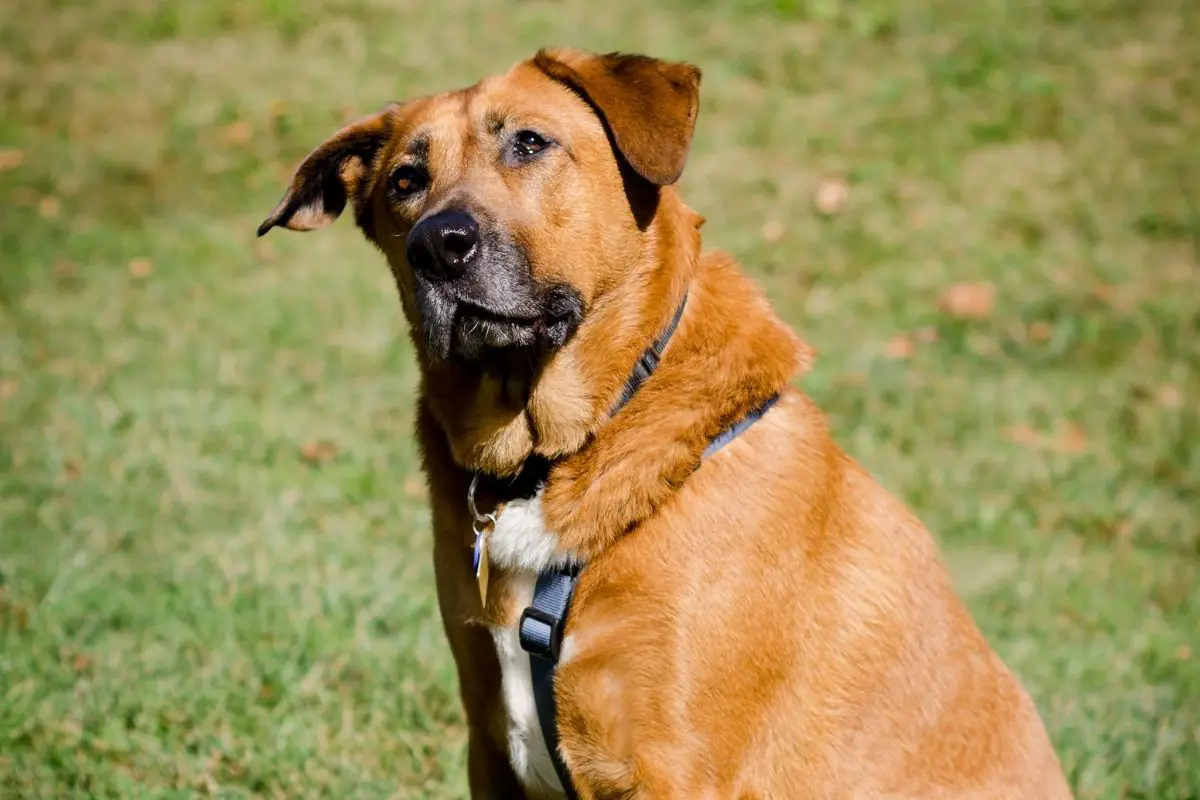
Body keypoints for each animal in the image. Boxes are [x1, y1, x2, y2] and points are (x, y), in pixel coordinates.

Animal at [258, 48, 1075, 800]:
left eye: (529, 142)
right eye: (405, 180)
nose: (437, 245)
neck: (559, 454)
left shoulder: (671, 767)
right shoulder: (490, 746)